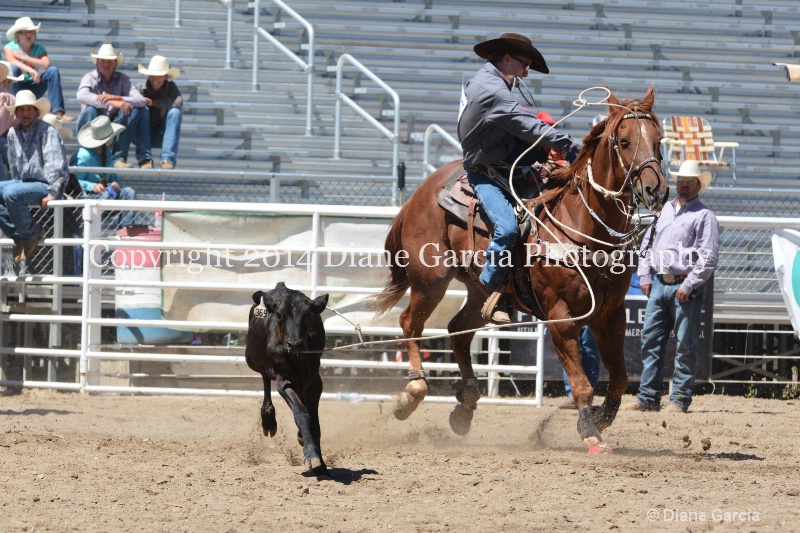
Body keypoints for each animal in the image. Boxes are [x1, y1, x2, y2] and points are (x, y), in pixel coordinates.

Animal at [372, 87, 664, 454]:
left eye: (658, 140)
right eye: (624, 141)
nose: (656, 189)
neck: (580, 223)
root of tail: (420, 192)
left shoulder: (609, 313)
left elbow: (620, 378)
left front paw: (601, 419)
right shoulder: (560, 315)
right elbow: (582, 383)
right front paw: (591, 433)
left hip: (479, 291)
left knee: (459, 330)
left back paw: (465, 406)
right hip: (430, 281)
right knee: (410, 323)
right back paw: (412, 393)